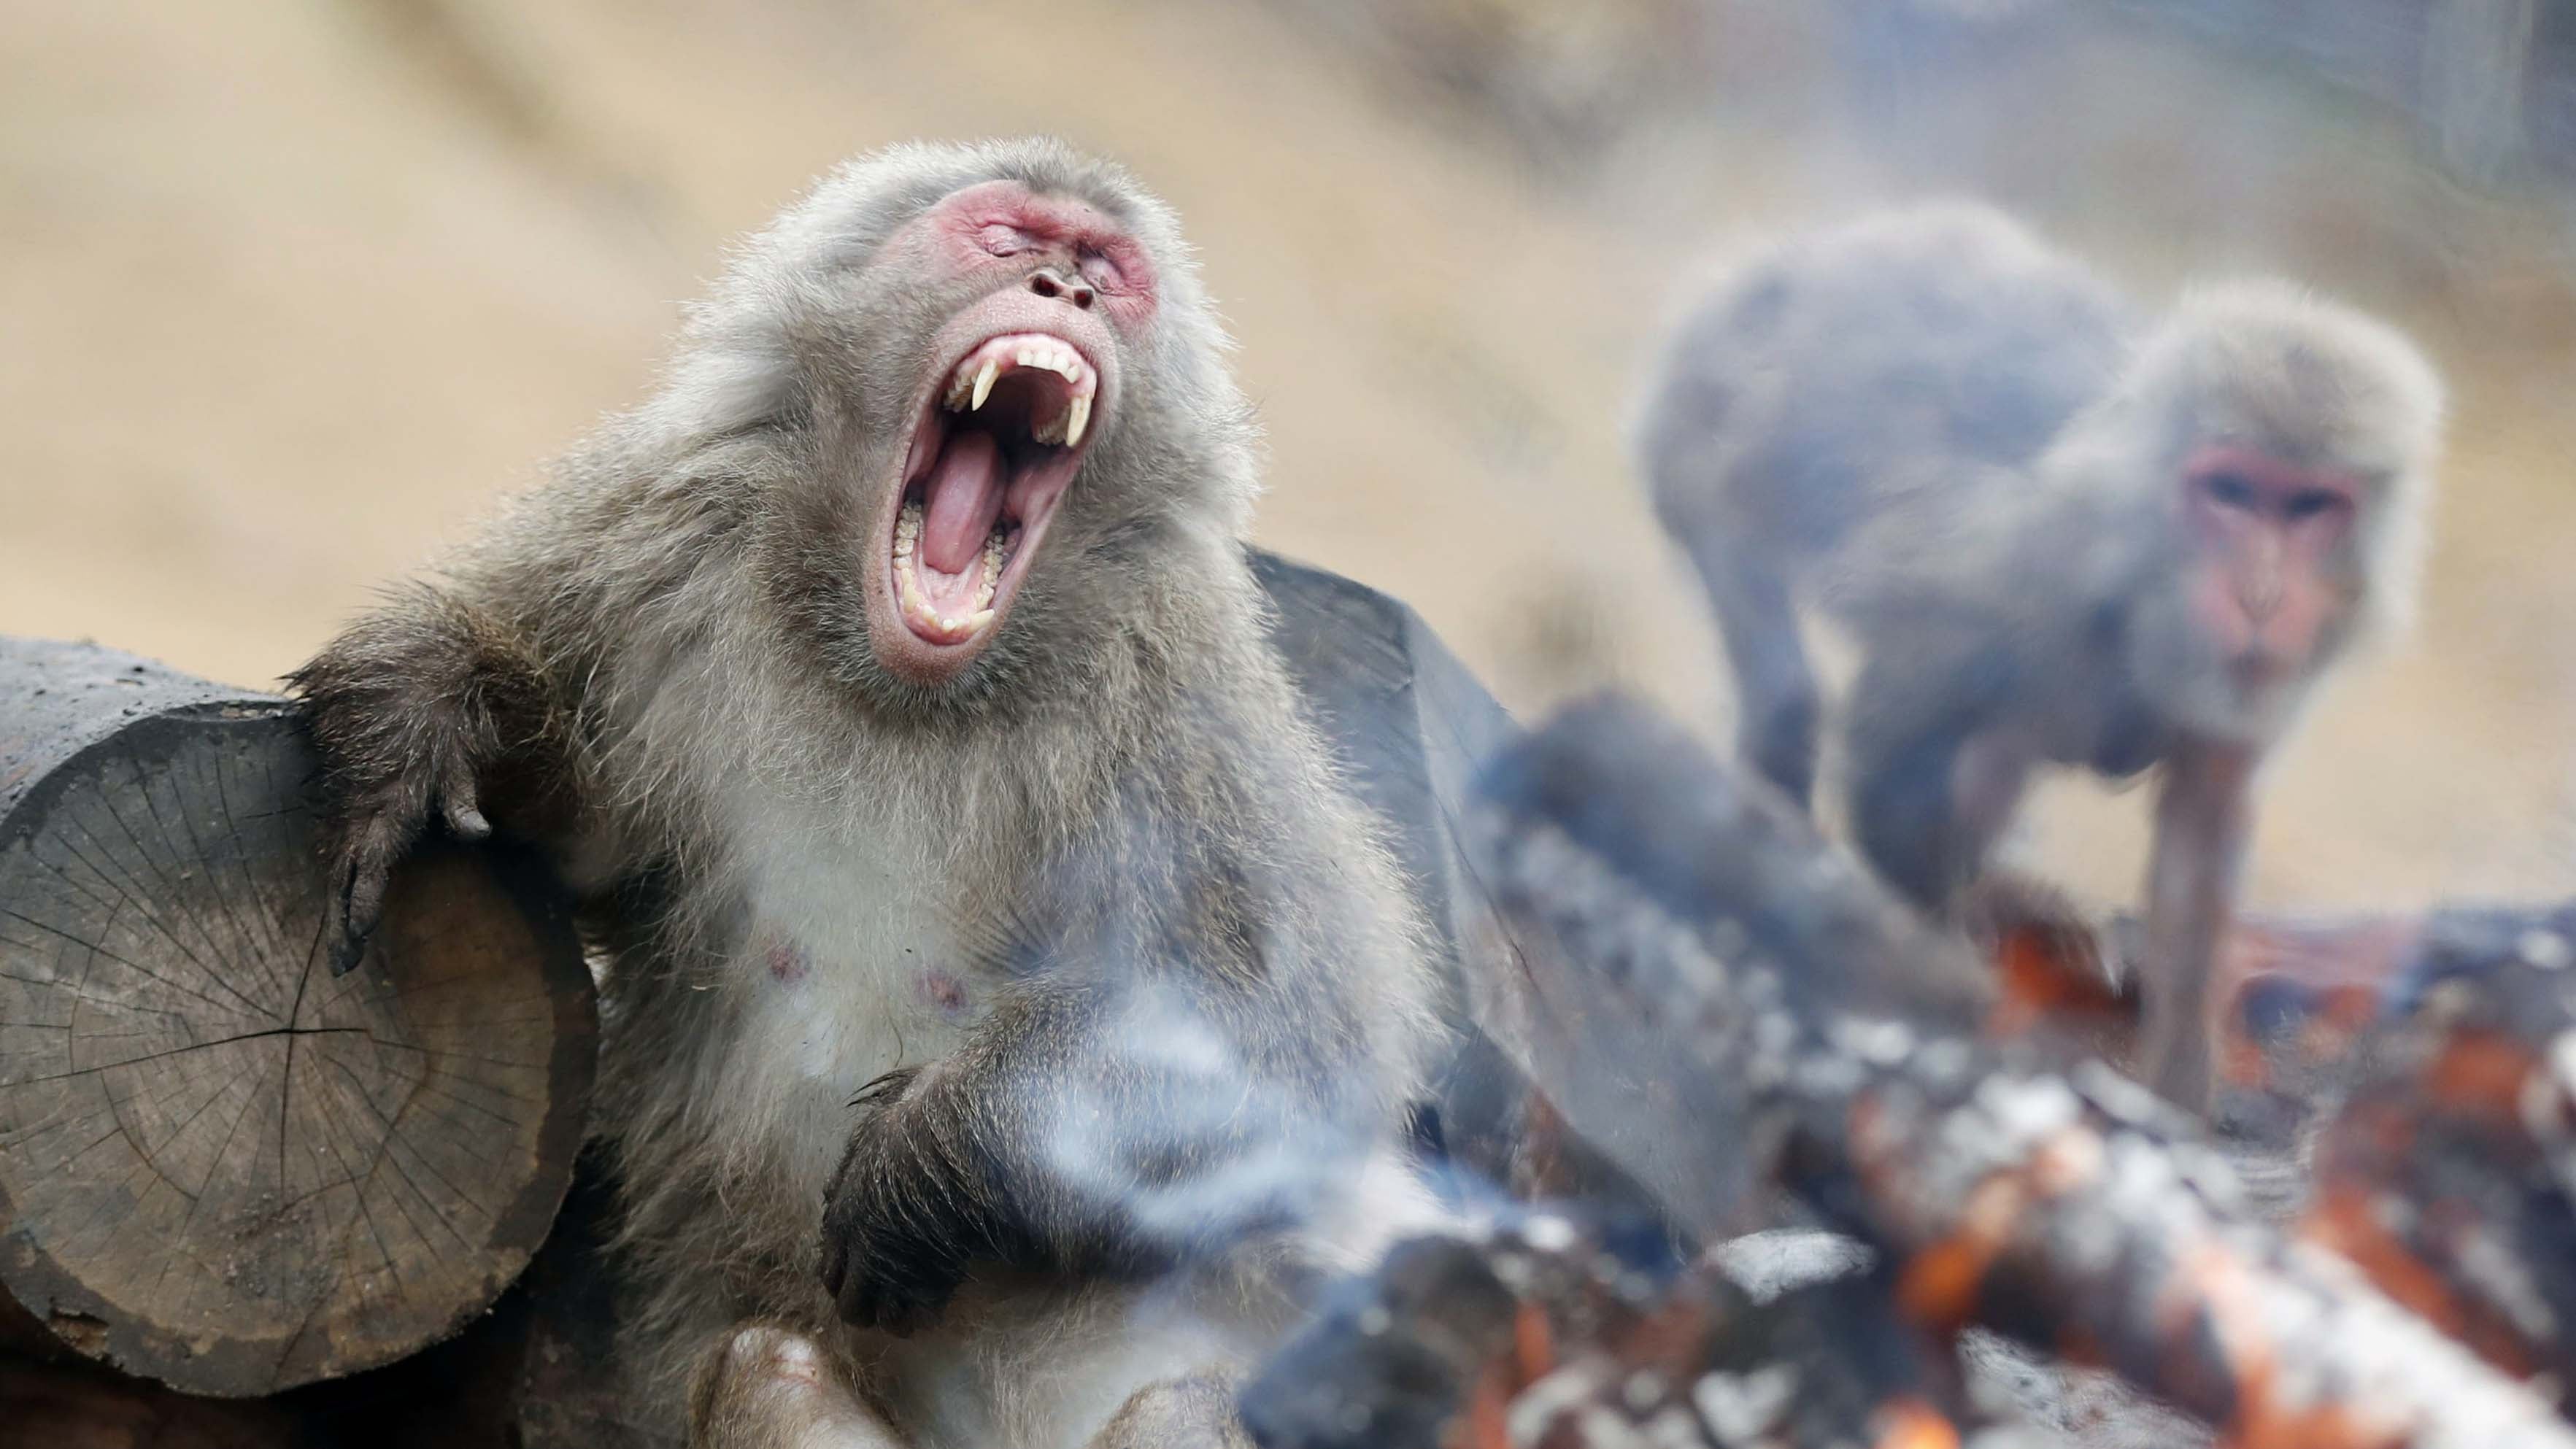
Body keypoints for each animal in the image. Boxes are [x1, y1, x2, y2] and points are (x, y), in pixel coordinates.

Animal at [288, 138, 1446, 1449]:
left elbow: (1287, 1046)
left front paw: (937, 1157)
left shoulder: (1186, 710)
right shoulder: (666, 542)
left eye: (1109, 272)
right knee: (761, 1368)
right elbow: (581, 843)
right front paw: (423, 701)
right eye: (1007, 238)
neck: (896, 687)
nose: (1064, 289)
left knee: (1178, 1398)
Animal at [1633, 202, 2444, 1114]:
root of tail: (1775, 265)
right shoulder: (2020, 573)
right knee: (1793, 705)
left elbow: (2194, 858)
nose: (2262, 597)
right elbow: (1890, 752)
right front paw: (1945, 991)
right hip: (1698, 432)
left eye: (2309, 507)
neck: (2144, 592)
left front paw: (2177, 1101)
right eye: (2230, 493)